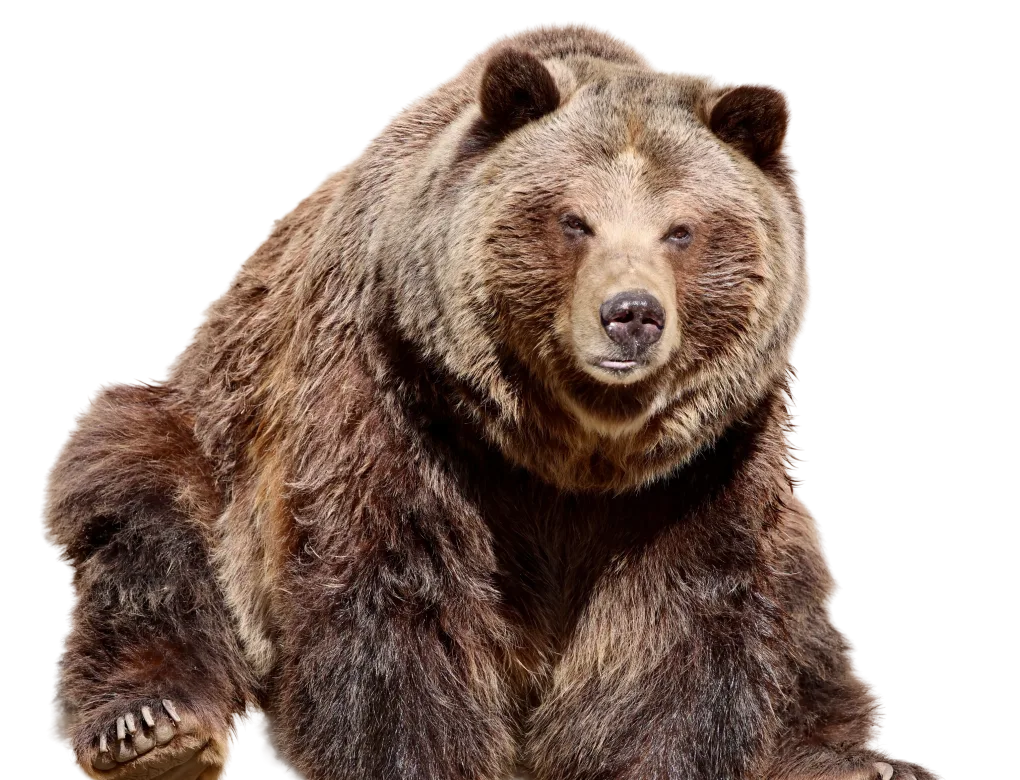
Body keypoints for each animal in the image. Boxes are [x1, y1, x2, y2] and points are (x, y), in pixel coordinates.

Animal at [39, 20, 942, 780]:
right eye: (574, 220)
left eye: (681, 230)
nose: (632, 315)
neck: (575, 449)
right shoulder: (399, 404)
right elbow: (398, 600)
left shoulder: (705, 462)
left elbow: (685, 617)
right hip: (201, 436)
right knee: (144, 526)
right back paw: (152, 727)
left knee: (808, 616)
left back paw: (859, 760)